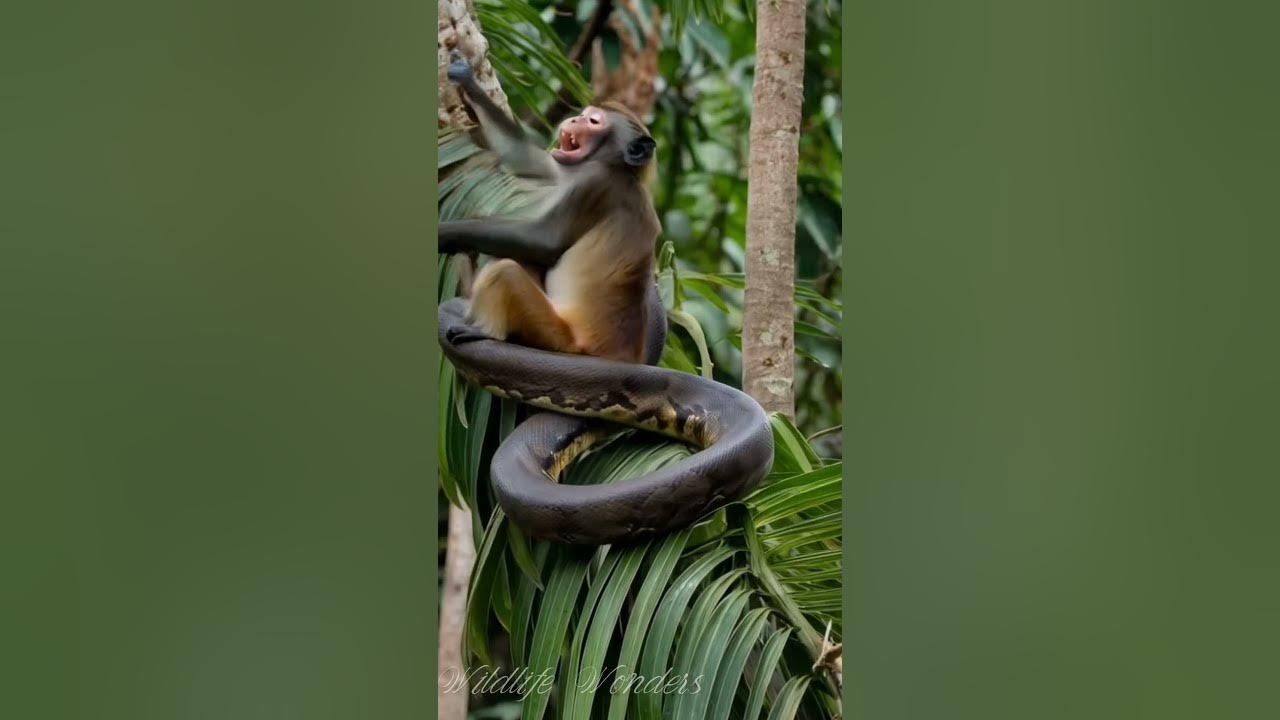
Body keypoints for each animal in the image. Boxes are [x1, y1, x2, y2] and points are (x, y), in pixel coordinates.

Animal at [440, 53, 660, 363]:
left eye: (594, 120)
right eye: (585, 114)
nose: (576, 117)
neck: (617, 166)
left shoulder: (597, 183)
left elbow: (545, 242)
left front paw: (443, 234)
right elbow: (526, 160)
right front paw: (467, 80)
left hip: (558, 338)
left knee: (505, 271)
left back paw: (487, 330)